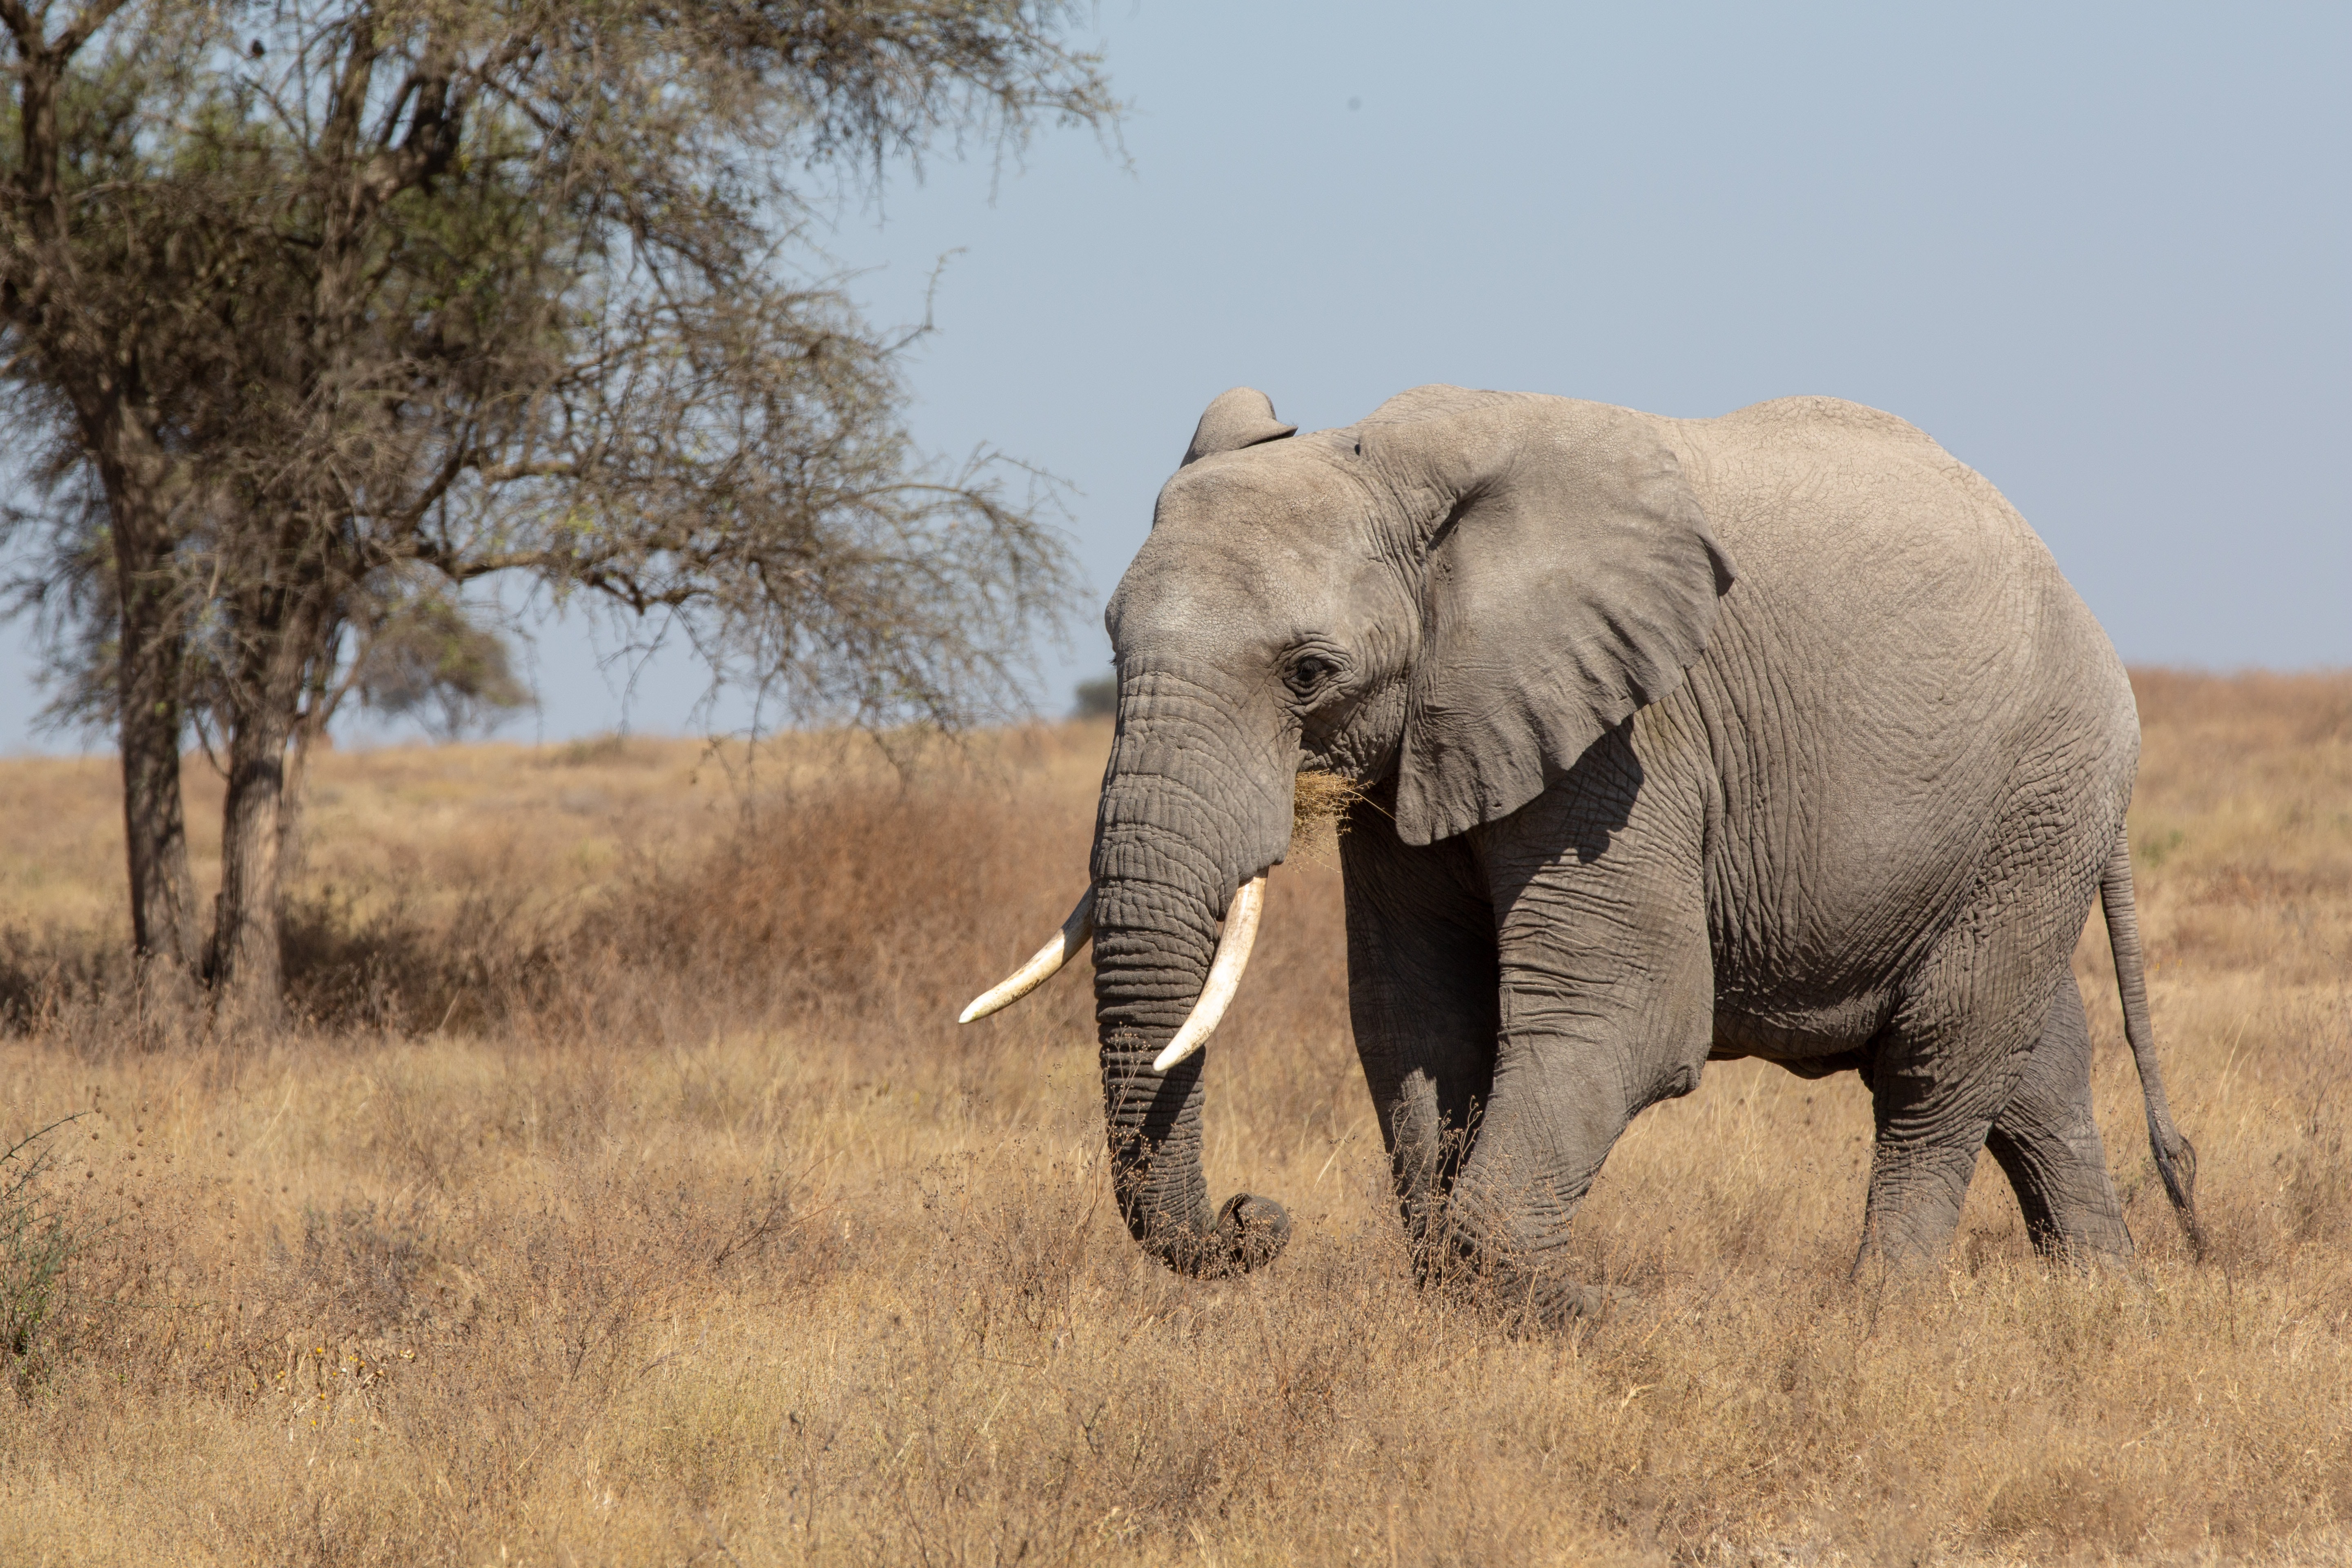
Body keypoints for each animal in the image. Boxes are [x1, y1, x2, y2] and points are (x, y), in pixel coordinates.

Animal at [960, 385, 2201, 1316]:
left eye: (1308, 672)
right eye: (1110, 649)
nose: (1252, 1217)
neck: (1400, 472)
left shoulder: (1626, 740)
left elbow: (1627, 1012)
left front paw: (1581, 1310)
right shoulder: (1428, 737)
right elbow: (1414, 1017)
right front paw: (1462, 1301)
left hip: (2043, 788)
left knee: (1941, 1061)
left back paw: (1875, 1317)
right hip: (2016, 824)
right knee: (2033, 1064)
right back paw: (2106, 1305)